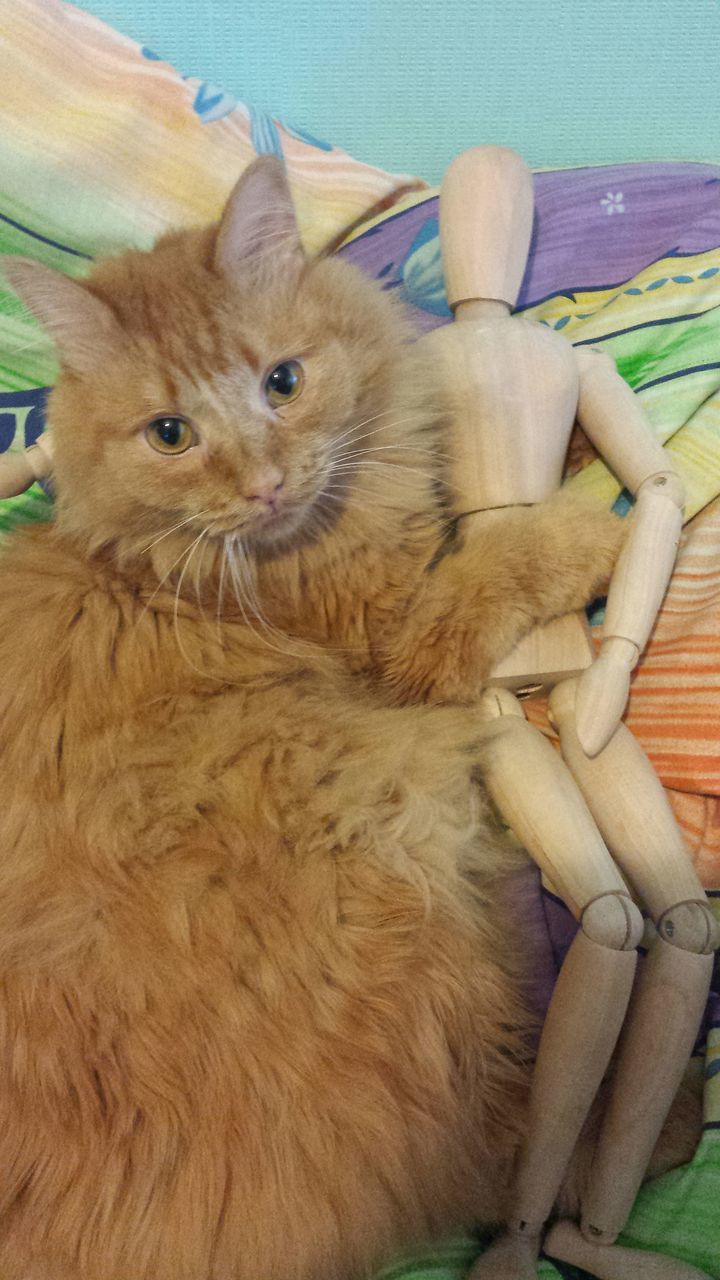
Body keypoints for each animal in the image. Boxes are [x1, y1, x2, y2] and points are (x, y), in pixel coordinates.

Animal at [0, 154, 625, 1274]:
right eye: (171, 434)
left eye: (283, 383)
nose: (262, 484)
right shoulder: (406, 643)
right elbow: (500, 559)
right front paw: (587, 522)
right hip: (407, 897)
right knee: (509, 1148)